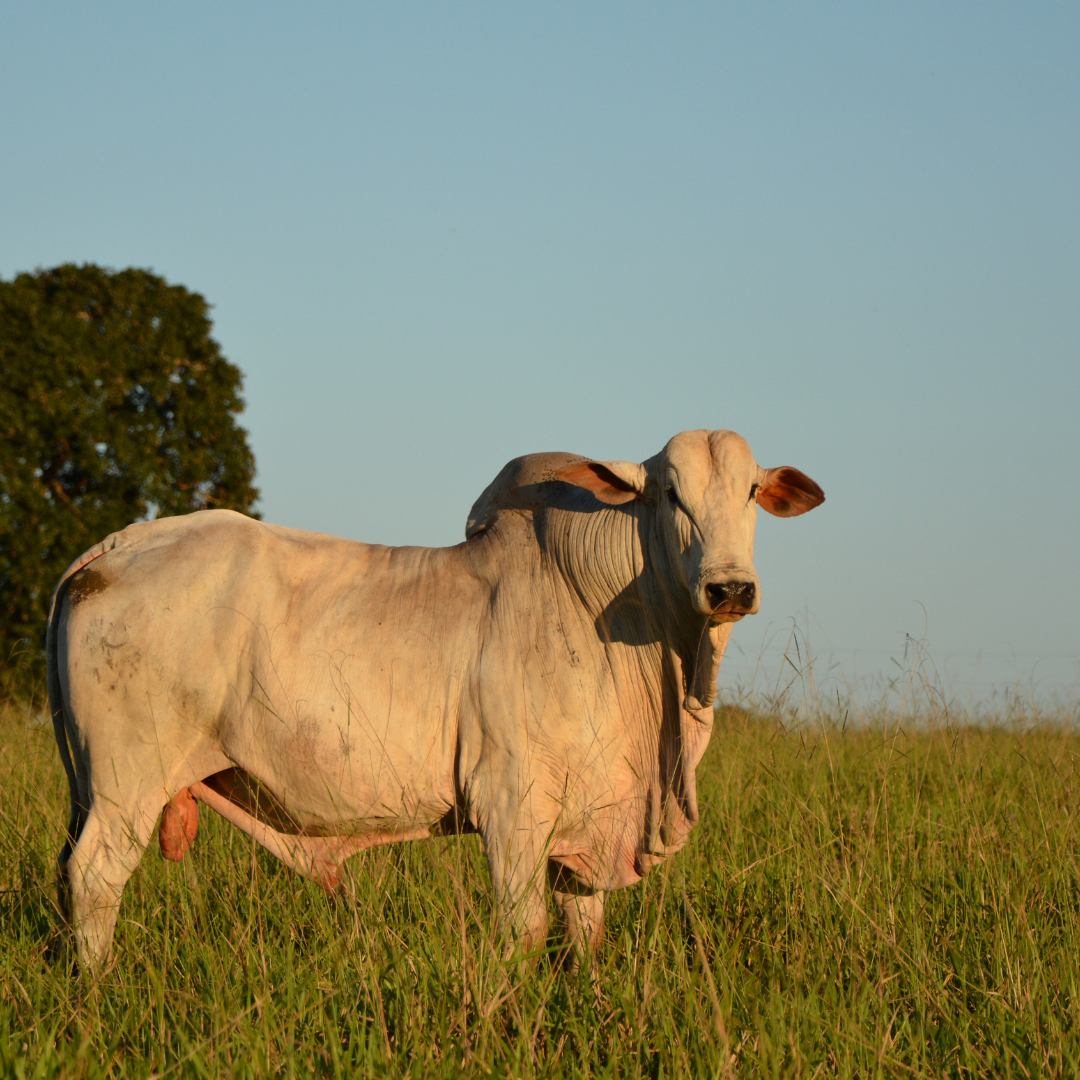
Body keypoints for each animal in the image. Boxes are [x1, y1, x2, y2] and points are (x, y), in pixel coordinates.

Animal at [47, 429, 823, 973]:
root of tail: (116, 547)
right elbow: (524, 931)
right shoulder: (512, 805)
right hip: (126, 783)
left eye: (751, 492)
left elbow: (584, 936)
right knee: (94, 879)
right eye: (669, 494)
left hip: (91, 789)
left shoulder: (587, 823)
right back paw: (99, 991)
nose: (730, 587)